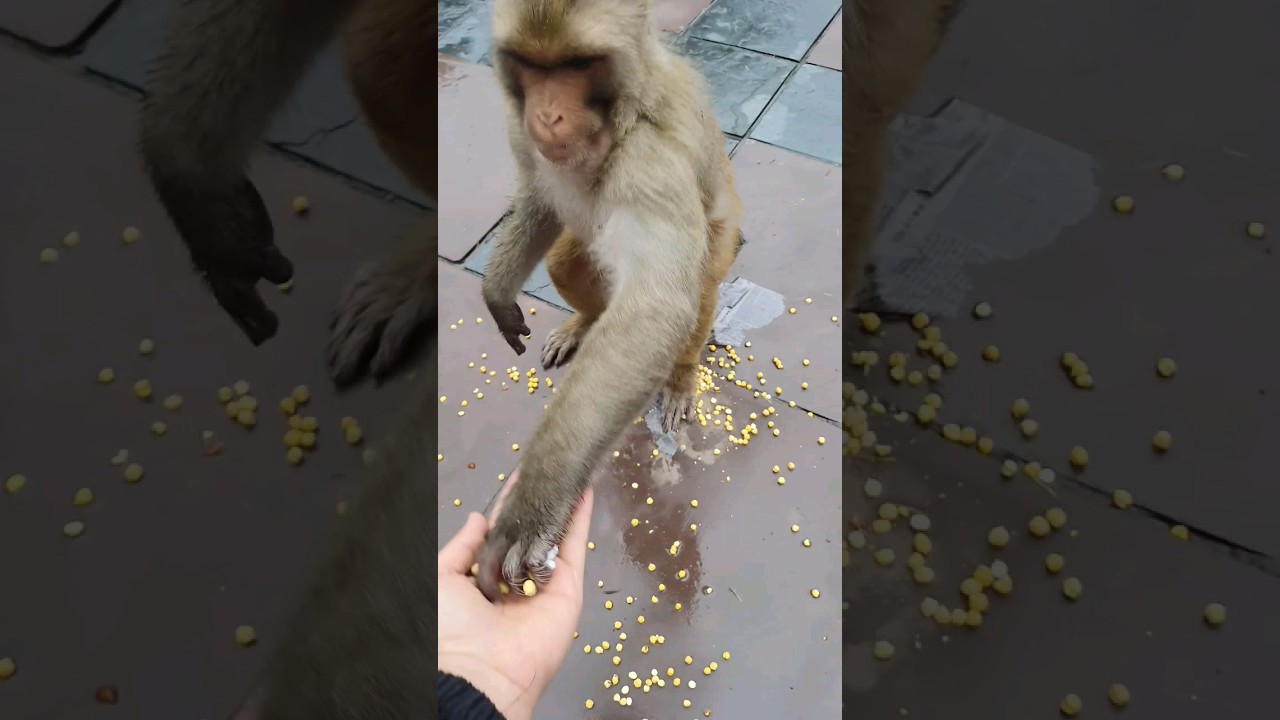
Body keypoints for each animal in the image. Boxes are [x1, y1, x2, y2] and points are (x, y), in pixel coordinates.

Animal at [473, 0, 742, 600]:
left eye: (577, 64)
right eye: (532, 65)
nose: (547, 116)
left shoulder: (651, 161)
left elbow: (656, 311)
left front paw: (534, 506)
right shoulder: (520, 133)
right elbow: (538, 196)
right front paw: (496, 289)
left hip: (721, 243)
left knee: (697, 289)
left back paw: (680, 375)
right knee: (566, 259)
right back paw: (584, 322)